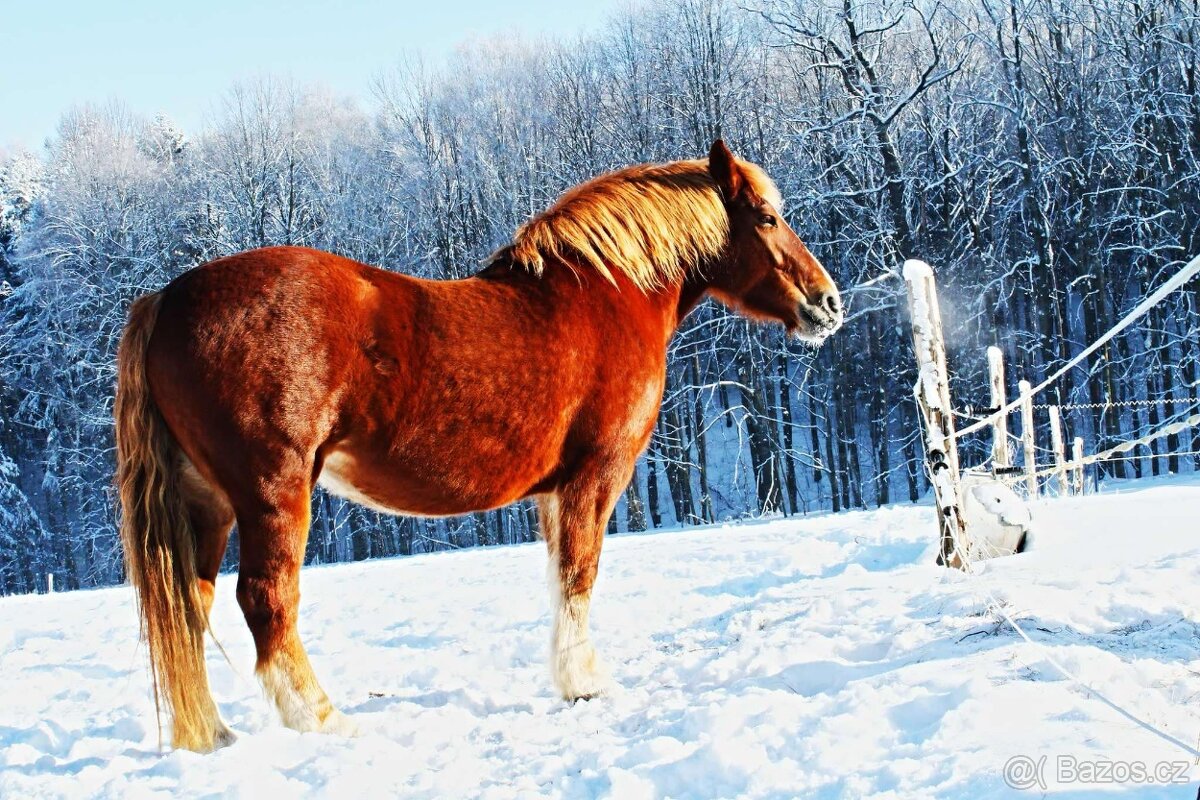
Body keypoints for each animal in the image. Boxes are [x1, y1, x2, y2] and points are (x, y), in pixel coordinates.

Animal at [112, 139, 844, 753]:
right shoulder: (595, 475)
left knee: (190, 605)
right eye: (766, 217)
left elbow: (560, 576)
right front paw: (585, 683)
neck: (606, 296)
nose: (828, 303)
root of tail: (165, 300)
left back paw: (213, 736)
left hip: (208, 505)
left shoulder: (554, 493)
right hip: (272, 493)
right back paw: (323, 720)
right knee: (265, 600)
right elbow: (580, 575)